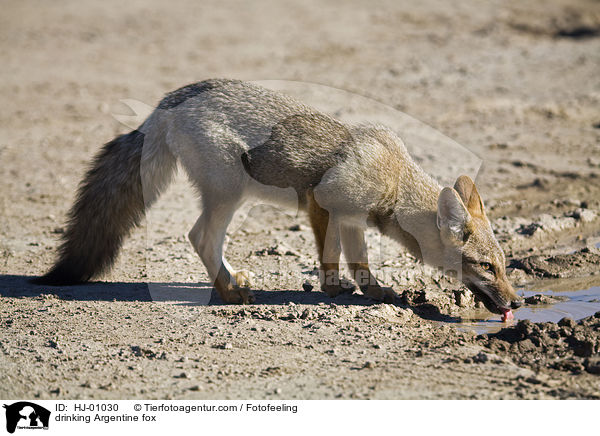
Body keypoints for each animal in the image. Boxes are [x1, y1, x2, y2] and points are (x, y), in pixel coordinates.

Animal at [34, 78, 520, 318]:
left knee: (206, 240)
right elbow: (338, 257)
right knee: (199, 237)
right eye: (486, 267)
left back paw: (232, 281)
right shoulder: (324, 202)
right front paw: (345, 290)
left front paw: (366, 290)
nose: (518, 302)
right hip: (229, 195)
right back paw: (229, 293)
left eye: (504, 266)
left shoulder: (345, 217)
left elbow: (353, 258)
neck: (395, 179)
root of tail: (165, 105)